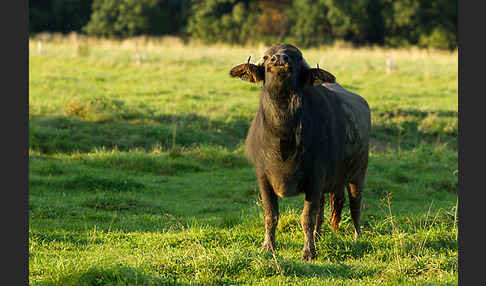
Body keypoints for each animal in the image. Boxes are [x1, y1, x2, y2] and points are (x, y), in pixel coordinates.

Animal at [230, 43, 370, 260]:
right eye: (267, 56)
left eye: (295, 57)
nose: (279, 59)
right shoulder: (263, 178)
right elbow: (271, 215)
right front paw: (268, 247)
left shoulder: (315, 179)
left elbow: (307, 217)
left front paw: (308, 252)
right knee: (323, 210)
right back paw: (318, 237)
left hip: (357, 175)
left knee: (355, 206)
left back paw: (357, 237)